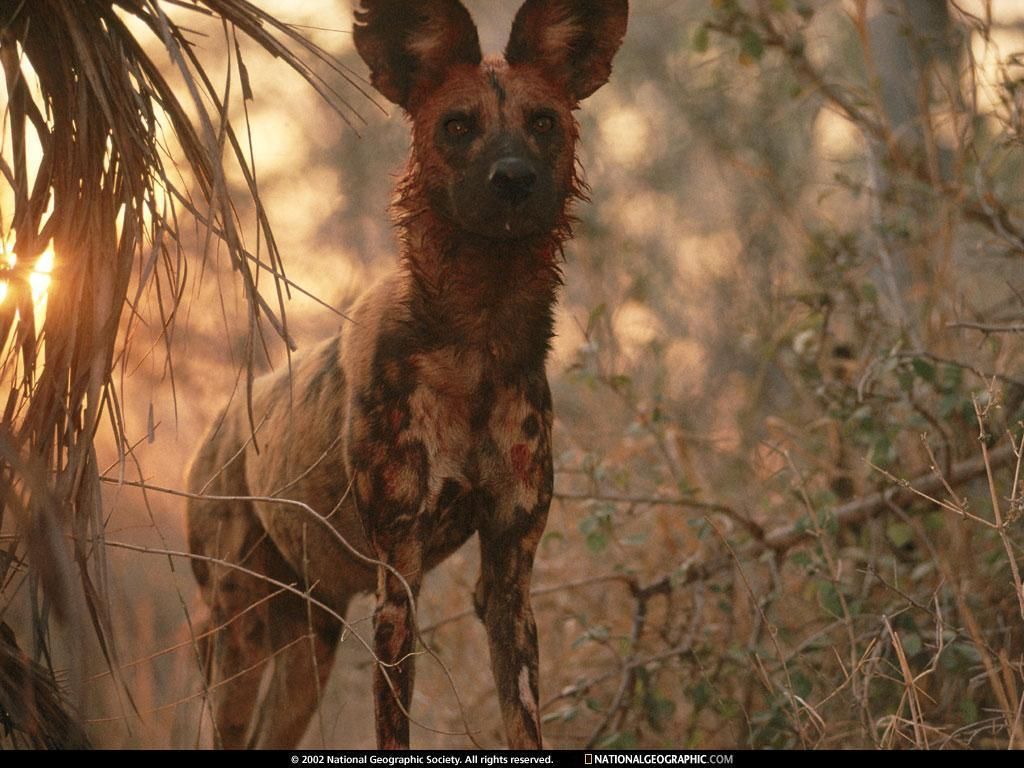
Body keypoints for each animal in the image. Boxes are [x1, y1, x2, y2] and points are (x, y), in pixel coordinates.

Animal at [188, 0, 626, 753]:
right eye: (457, 126)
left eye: (544, 122)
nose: (514, 179)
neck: (478, 343)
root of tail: (216, 427)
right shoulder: (399, 586)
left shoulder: (509, 582)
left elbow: (523, 721)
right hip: (239, 644)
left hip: (311, 646)